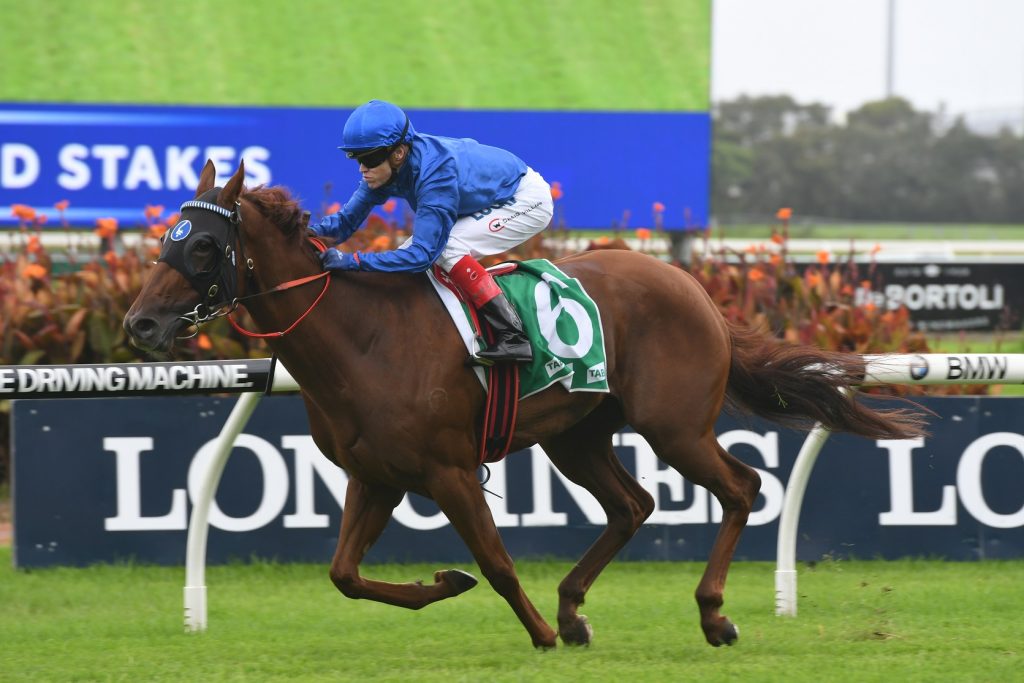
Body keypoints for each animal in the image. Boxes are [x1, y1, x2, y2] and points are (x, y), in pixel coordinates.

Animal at [124, 160, 926, 649]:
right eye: (166, 237)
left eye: (203, 247)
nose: (140, 325)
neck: (364, 336)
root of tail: (694, 287)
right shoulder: (376, 476)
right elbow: (345, 574)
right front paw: (448, 584)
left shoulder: (447, 471)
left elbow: (499, 561)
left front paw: (535, 631)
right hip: (576, 434)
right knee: (632, 504)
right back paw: (575, 610)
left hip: (673, 426)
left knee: (742, 486)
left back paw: (710, 614)